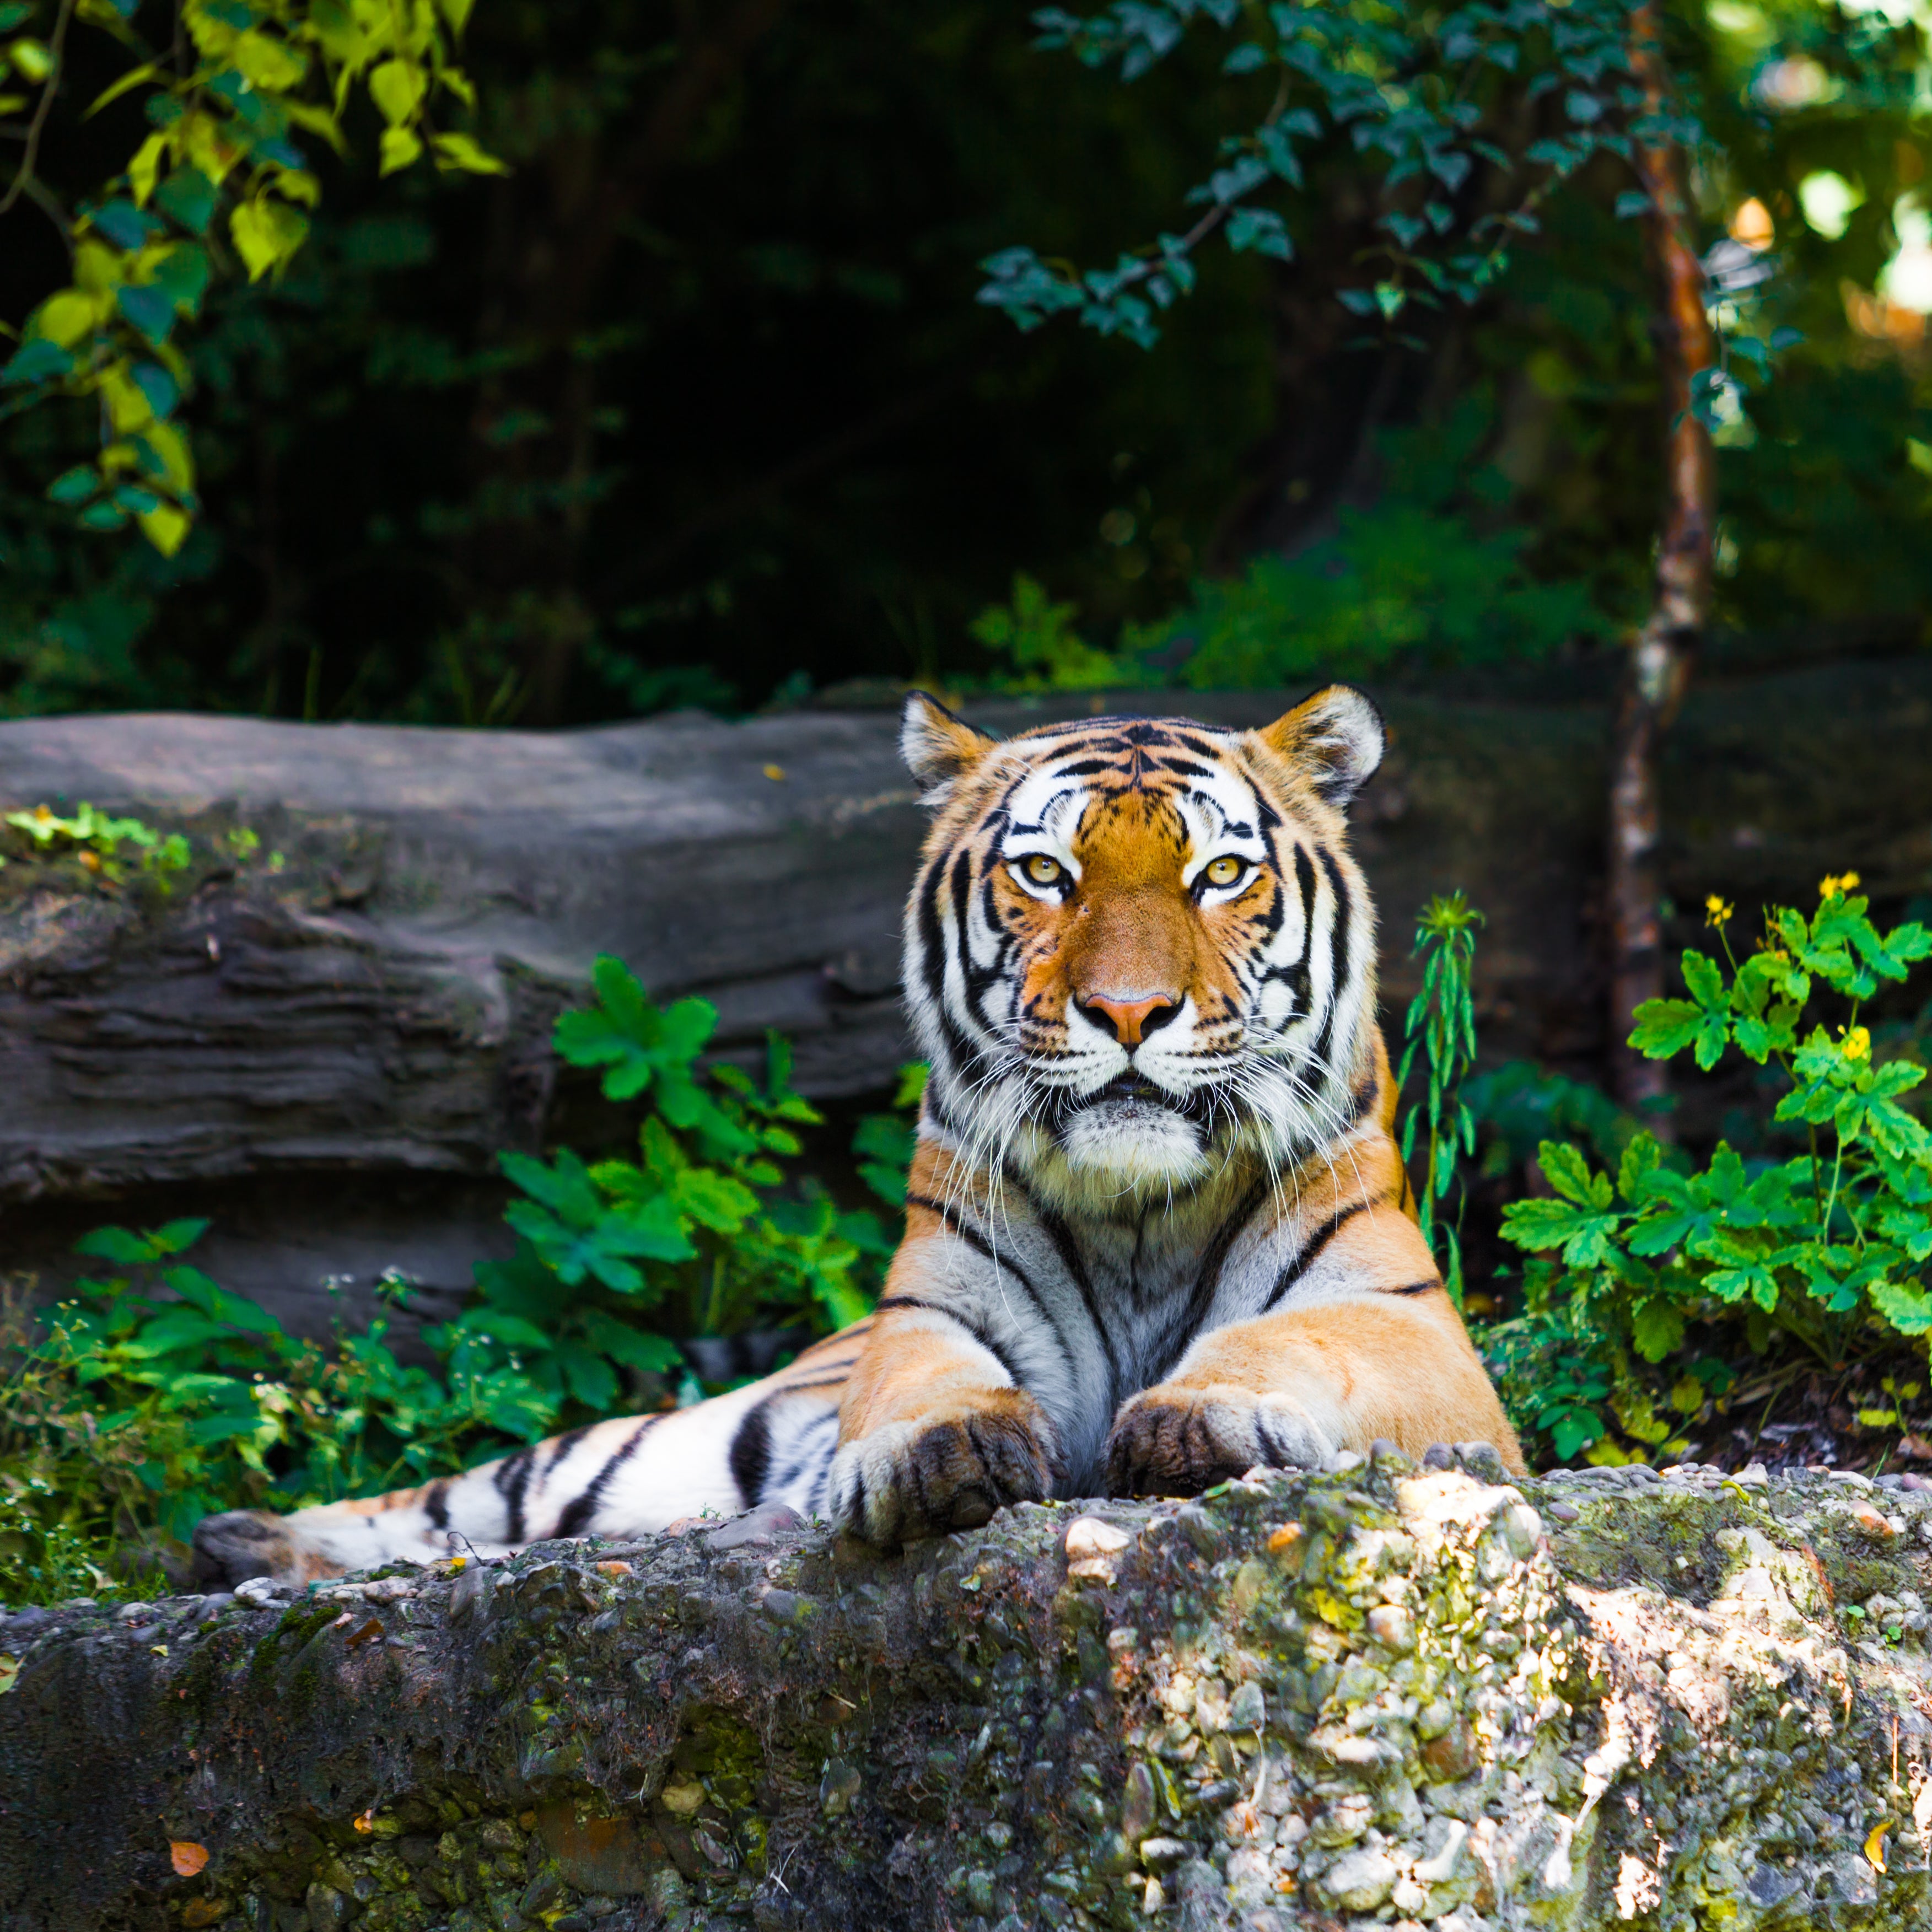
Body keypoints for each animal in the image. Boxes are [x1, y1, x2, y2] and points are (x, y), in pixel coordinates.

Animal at [190, 684, 1521, 1587]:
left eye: (1220, 875)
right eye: (1046, 873)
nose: (1132, 1012)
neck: (1143, 1213)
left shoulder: (1412, 1331)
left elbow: (1295, 1340)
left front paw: (1203, 1418)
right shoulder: (929, 1313)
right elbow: (932, 1381)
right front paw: (945, 1449)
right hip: (660, 1445)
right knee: (464, 1501)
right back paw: (246, 1542)